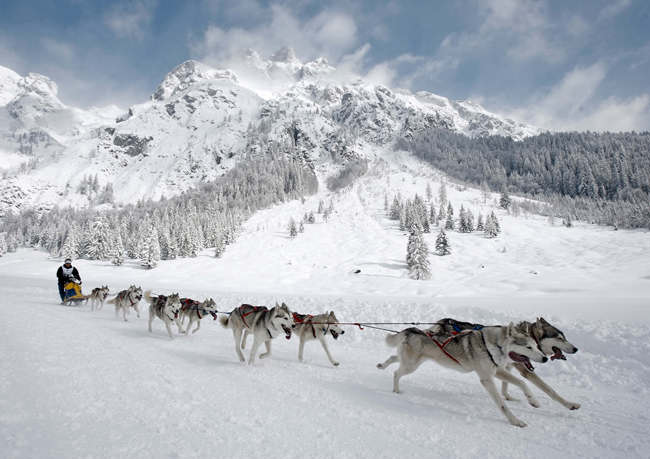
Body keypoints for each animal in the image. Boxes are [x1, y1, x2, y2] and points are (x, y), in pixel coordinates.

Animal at [374, 324, 548, 428]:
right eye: (528, 347)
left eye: (536, 346)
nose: (545, 358)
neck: (492, 345)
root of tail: (412, 330)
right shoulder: (487, 379)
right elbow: (502, 405)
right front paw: (515, 421)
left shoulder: (497, 371)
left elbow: (522, 383)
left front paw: (533, 401)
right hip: (411, 366)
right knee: (396, 373)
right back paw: (396, 390)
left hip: (413, 362)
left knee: (394, 358)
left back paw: (382, 365)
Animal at [432, 318, 580, 412]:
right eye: (559, 338)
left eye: (565, 337)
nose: (576, 349)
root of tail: (442, 321)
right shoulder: (524, 370)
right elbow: (550, 390)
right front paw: (569, 404)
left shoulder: (505, 366)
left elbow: (506, 384)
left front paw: (507, 396)